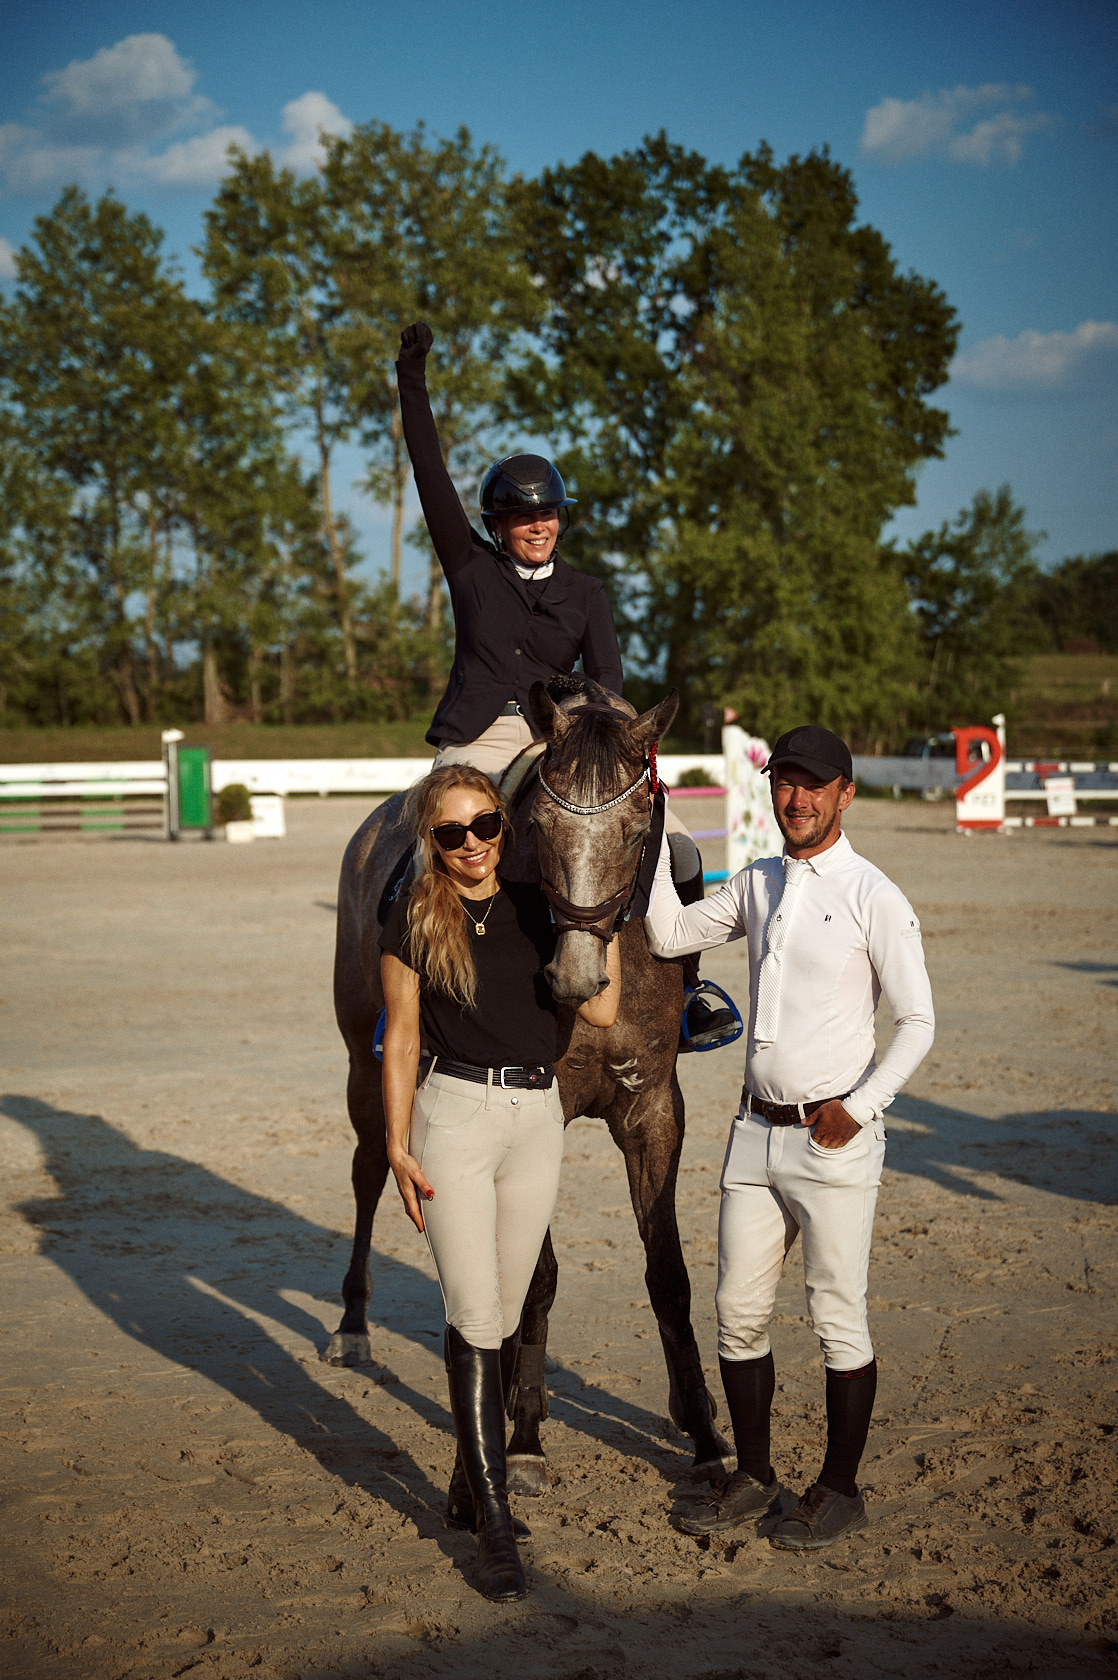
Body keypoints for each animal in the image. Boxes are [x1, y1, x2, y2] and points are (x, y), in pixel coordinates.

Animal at [324, 675, 722, 1491]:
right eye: (536, 824)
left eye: (640, 827)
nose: (573, 979)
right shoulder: (536, 1112)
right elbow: (536, 1276)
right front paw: (528, 1435)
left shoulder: (654, 1109)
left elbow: (667, 1272)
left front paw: (703, 1433)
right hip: (366, 1072)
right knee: (371, 1171)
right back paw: (354, 1328)